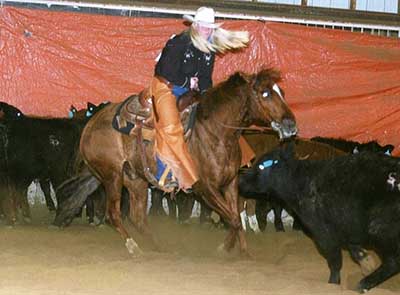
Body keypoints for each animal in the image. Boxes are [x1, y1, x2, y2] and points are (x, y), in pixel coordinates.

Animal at [54, 68, 296, 256]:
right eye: (265, 93)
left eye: (282, 92)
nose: (290, 125)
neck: (215, 133)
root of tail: (90, 124)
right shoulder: (205, 188)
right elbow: (234, 220)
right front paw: (224, 249)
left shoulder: (230, 183)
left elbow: (236, 216)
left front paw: (243, 252)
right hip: (112, 175)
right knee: (113, 213)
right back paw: (133, 247)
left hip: (135, 178)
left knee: (137, 217)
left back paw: (160, 247)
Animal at [239, 142, 400, 292]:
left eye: (261, 167)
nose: (241, 181)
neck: (301, 182)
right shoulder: (344, 224)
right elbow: (354, 248)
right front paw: (367, 263)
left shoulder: (323, 232)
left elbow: (335, 261)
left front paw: (333, 283)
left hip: (382, 228)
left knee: (393, 261)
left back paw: (363, 285)